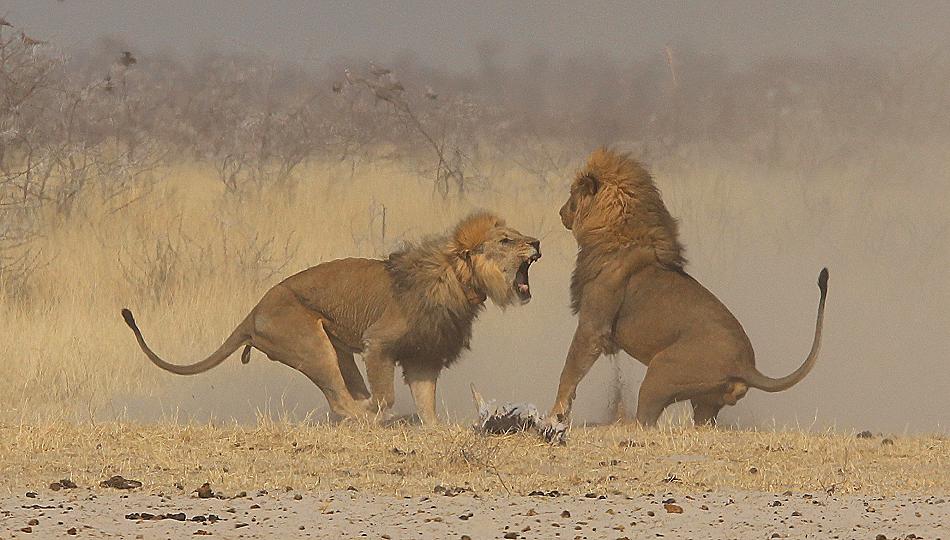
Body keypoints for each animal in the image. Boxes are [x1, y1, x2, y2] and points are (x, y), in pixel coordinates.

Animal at [123, 213, 544, 424]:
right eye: (506, 241)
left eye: (518, 235)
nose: (538, 242)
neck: (460, 281)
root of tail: (254, 311)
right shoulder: (379, 342)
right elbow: (386, 394)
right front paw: (384, 413)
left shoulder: (424, 356)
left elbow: (427, 402)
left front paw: (433, 430)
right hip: (309, 342)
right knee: (341, 401)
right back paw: (367, 417)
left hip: (335, 348)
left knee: (342, 395)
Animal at [548, 148, 828, 426]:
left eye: (572, 194)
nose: (560, 213)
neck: (619, 232)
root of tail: (746, 366)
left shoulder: (593, 327)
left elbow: (569, 373)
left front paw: (554, 416)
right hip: (704, 402)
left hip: (660, 373)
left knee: (646, 420)